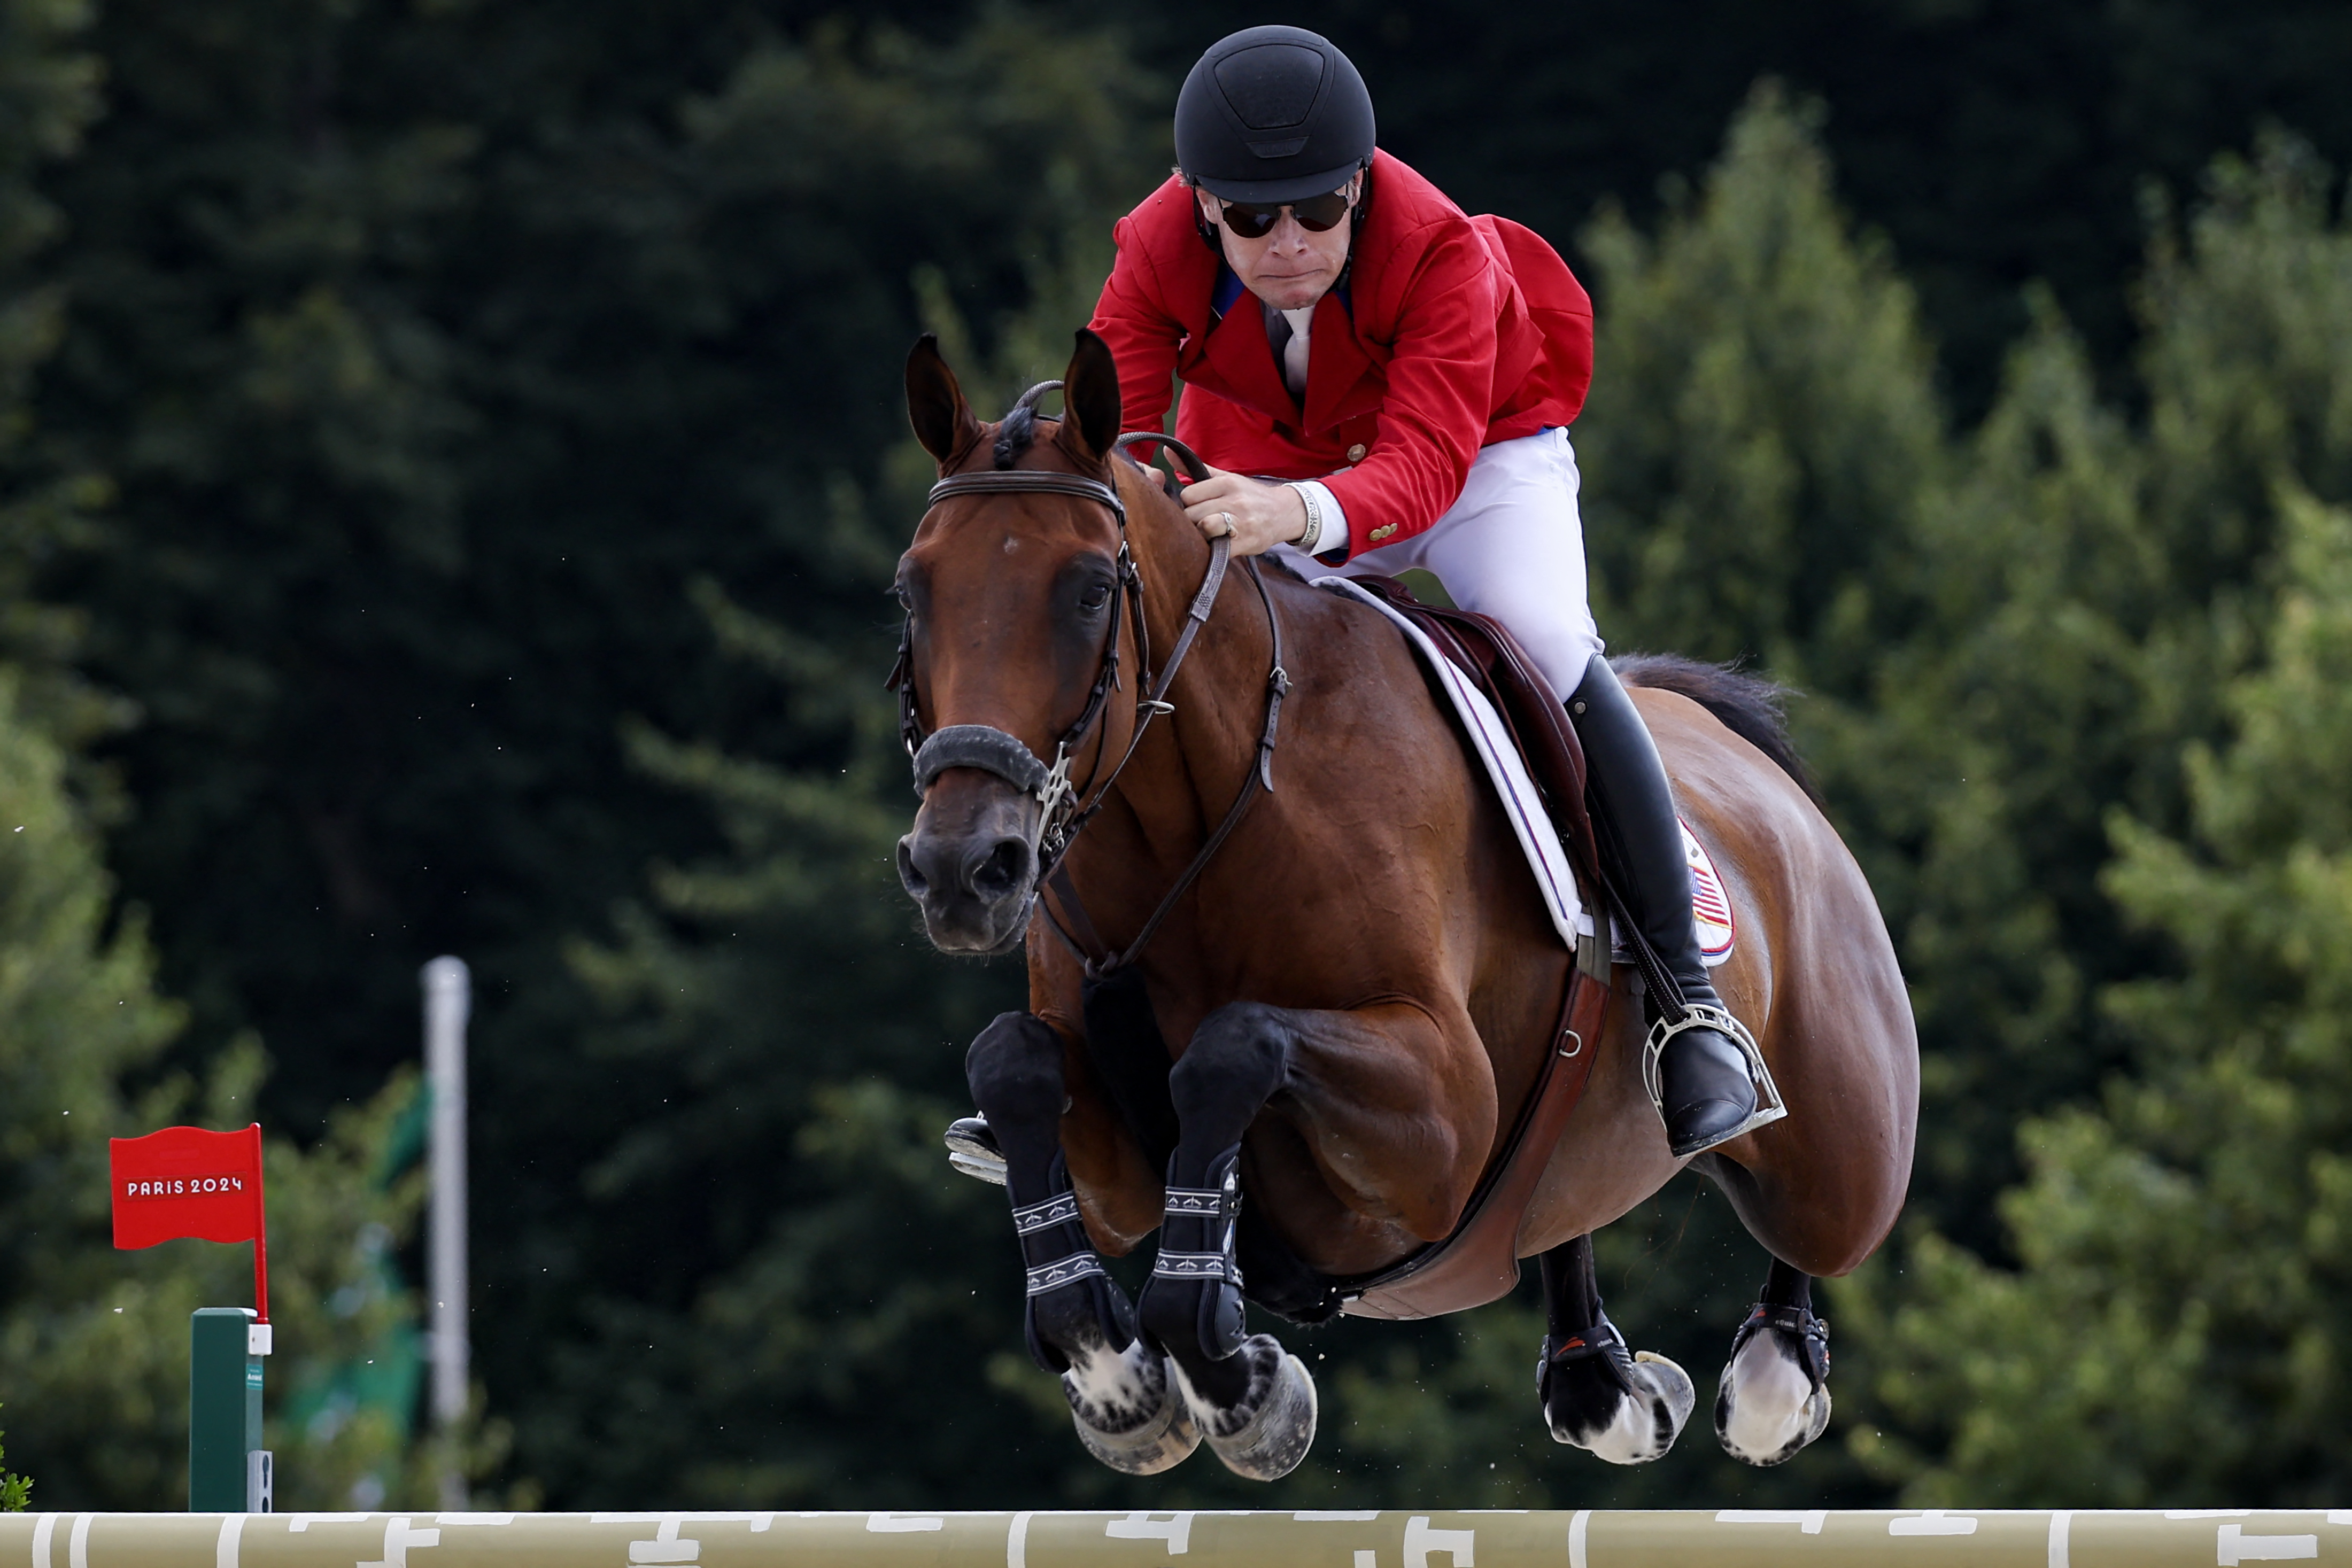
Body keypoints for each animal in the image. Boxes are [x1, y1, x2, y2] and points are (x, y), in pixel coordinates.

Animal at [891, 327, 1918, 1480]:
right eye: (911, 592)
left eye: (1083, 591)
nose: (962, 869)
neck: (1197, 818)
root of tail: (1767, 779)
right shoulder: (1113, 1166)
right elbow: (1014, 1059)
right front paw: (1118, 1374)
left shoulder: (1440, 1124)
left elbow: (1233, 1045)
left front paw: (1226, 1372)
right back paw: (1599, 1380)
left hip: (1841, 1156)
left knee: (1818, 1232)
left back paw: (1772, 1363)